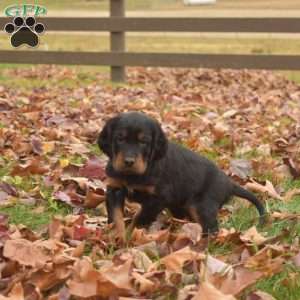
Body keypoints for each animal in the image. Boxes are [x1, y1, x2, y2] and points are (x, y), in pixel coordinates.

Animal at [98, 111, 264, 240]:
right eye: (120, 138)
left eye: (143, 142)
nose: (128, 162)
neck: (133, 175)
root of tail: (229, 183)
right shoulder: (114, 189)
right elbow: (115, 216)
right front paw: (116, 236)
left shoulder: (158, 198)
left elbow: (139, 219)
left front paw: (127, 236)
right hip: (181, 207)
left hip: (203, 207)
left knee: (212, 229)